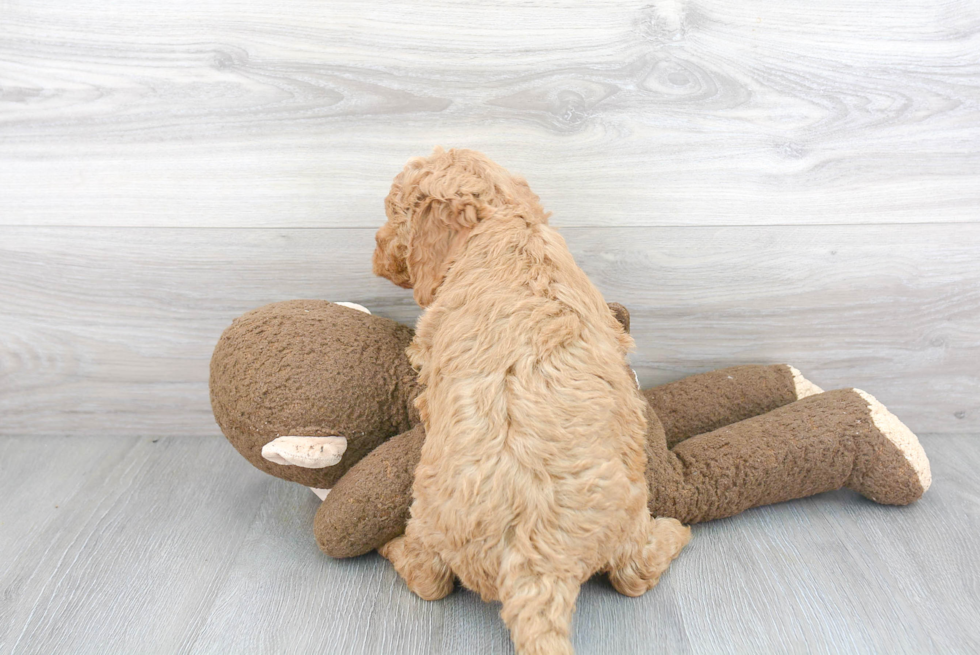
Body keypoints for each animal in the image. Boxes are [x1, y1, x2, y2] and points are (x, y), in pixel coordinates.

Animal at [374, 149, 688, 655]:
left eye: (392, 215)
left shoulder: (428, 341)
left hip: (428, 517)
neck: (505, 219)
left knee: (428, 578)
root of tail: (538, 564)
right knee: (634, 574)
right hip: (627, 512)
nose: (375, 251)